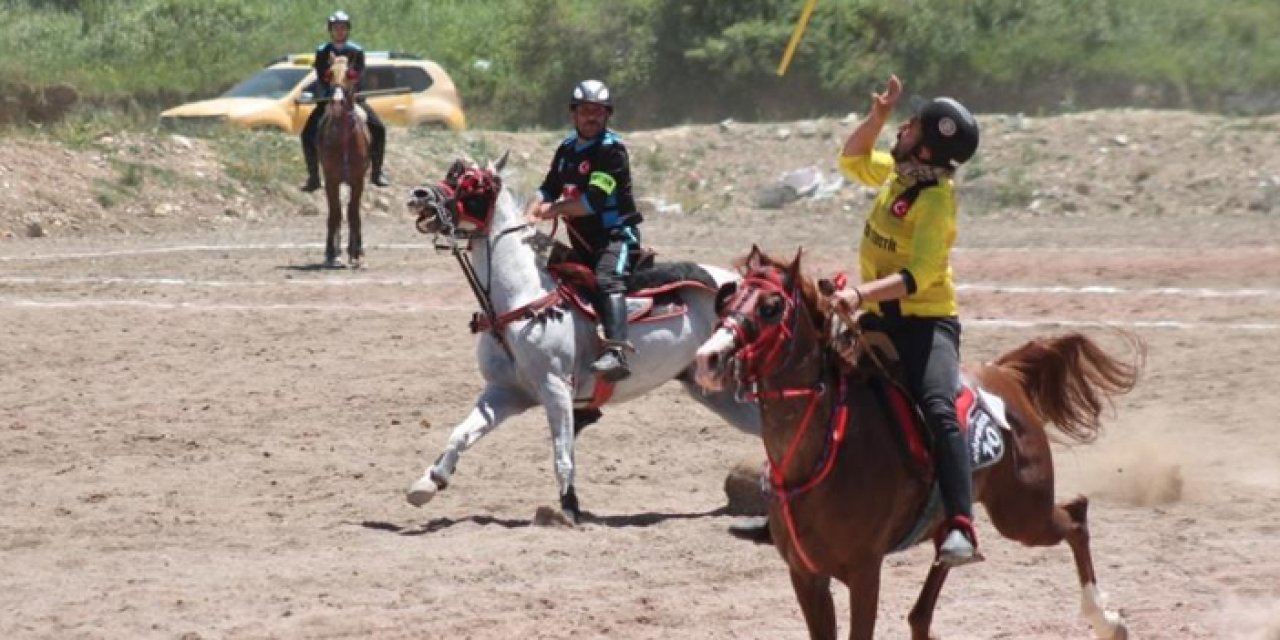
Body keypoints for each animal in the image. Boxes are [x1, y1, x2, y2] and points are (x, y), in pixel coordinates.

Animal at [404, 157, 752, 522]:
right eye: (451, 171)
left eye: (473, 182)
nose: (419, 194)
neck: (523, 299)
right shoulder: (506, 391)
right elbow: (460, 434)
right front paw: (428, 483)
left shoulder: (555, 389)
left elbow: (562, 455)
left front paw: (569, 508)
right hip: (719, 395)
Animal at [701, 248, 1141, 640]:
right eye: (730, 297)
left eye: (772, 306)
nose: (709, 357)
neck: (822, 454)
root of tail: (1005, 374)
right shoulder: (806, 576)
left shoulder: (864, 573)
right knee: (930, 594)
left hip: (1023, 515)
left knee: (1076, 517)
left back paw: (1108, 623)